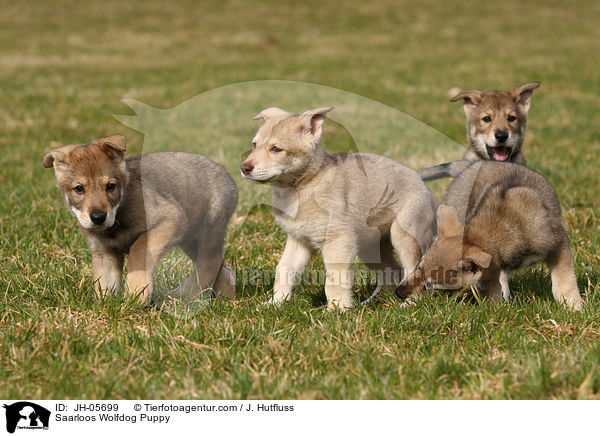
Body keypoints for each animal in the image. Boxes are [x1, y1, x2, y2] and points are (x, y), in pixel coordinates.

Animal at [43, 135, 237, 304]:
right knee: (224, 270)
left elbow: (138, 248)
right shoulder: (103, 250)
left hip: (205, 232)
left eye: (110, 186)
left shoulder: (170, 218)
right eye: (79, 188)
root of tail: (229, 178)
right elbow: (104, 283)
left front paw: (136, 292)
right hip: (190, 239)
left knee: (210, 263)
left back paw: (182, 296)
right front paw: (106, 305)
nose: (98, 217)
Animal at [398, 161, 580, 310]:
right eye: (419, 267)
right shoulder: (492, 271)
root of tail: (475, 163)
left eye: (431, 285)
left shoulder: (558, 244)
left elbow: (564, 281)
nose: (398, 292)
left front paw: (574, 307)